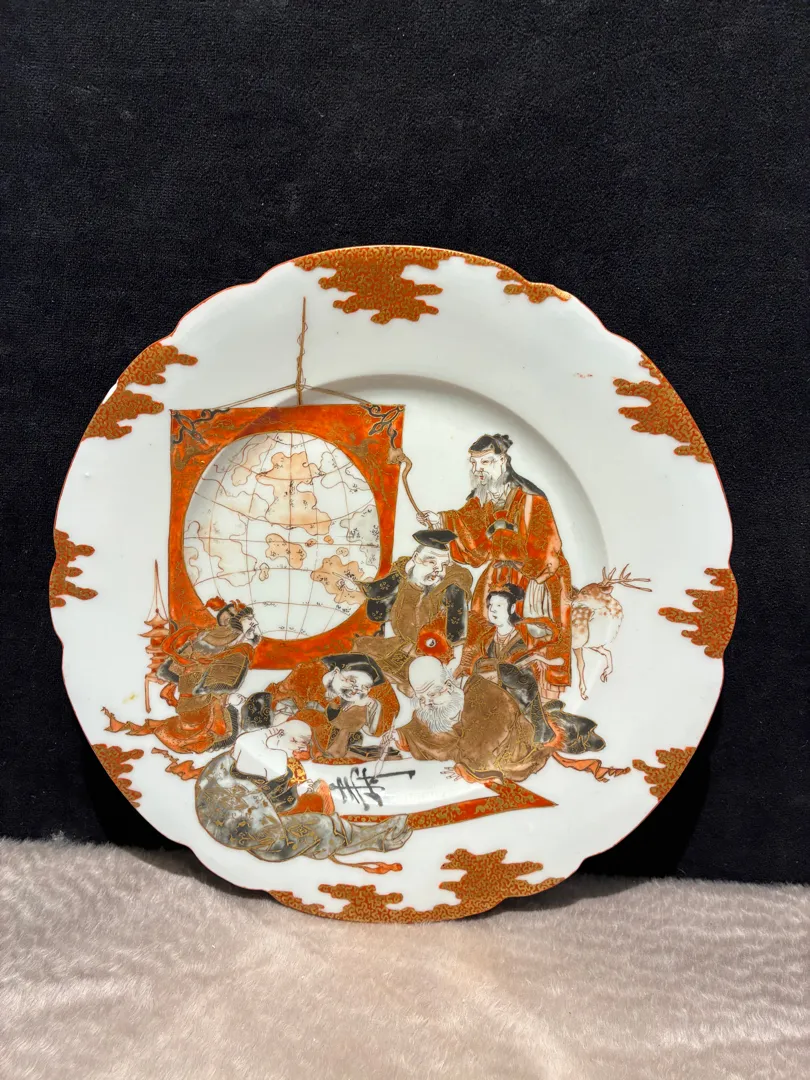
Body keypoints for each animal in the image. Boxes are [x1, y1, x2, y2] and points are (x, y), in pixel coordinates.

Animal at [571, 566, 651, 699]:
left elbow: (608, 653)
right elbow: (581, 665)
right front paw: (583, 692)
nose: (572, 601)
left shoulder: (593, 644)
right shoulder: (577, 643)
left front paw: (604, 674)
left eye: (585, 592)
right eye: (581, 590)